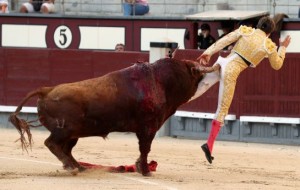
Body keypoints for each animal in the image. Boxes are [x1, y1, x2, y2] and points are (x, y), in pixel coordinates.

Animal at [7, 57, 209, 175]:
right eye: (194, 73)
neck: (161, 82)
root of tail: (47, 90)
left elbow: (144, 150)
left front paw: (139, 167)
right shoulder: (148, 127)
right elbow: (145, 149)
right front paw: (145, 171)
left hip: (74, 133)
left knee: (66, 149)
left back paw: (78, 166)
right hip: (65, 129)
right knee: (52, 143)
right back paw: (71, 167)